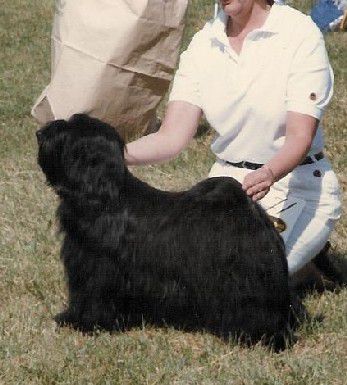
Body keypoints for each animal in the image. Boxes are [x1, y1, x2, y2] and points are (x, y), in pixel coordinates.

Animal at [36, 113, 304, 348]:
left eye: (66, 131)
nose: (39, 133)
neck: (105, 197)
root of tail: (251, 211)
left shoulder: (96, 269)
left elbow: (92, 298)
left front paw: (82, 323)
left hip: (246, 283)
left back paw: (264, 339)